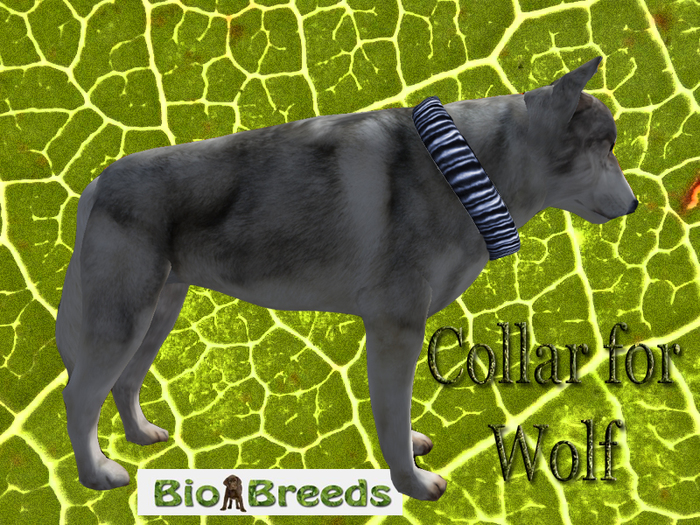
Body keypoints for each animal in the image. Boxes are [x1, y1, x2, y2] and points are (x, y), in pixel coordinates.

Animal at [55, 56, 637, 500]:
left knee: (124, 383)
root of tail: (98, 182)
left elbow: (397, 418)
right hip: (124, 322)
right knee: (80, 396)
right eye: (606, 149)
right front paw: (412, 484)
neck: (468, 169)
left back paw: (141, 435)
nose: (635, 204)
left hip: (158, 313)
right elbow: (391, 418)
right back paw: (97, 474)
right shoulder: (396, 330)